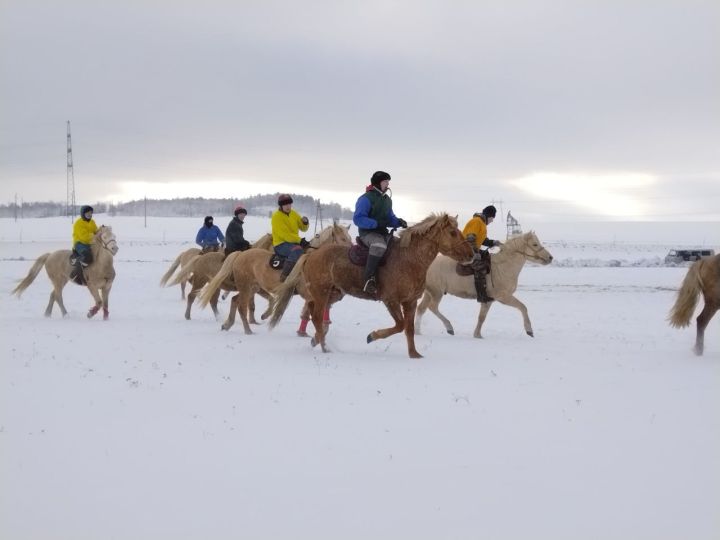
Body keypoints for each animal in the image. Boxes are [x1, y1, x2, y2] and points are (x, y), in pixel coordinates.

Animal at [198, 220, 352, 332]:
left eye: (349, 238)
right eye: (343, 238)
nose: (350, 252)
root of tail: (241, 254)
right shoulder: (309, 293)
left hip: (251, 288)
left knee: (235, 301)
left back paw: (228, 324)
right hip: (247, 288)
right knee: (240, 305)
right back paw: (247, 329)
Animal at [268, 212, 472, 358]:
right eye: (452, 233)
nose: (471, 254)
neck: (409, 259)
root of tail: (311, 254)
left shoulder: (410, 302)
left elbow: (409, 329)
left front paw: (414, 354)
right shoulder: (391, 300)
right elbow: (400, 326)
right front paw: (372, 336)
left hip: (329, 294)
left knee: (312, 312)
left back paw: (317, 340)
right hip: (322, 293)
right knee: (317, 317)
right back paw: (324, 347)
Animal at [414, 231, 556, 338]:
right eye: (535, 244)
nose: (550, 258)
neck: (502, 268)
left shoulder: (488, 300)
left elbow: (481, 317)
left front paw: (477, 335)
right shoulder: (503, 297)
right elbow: (523, 307)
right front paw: (529, 330)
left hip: (429, 293)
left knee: (421, 309)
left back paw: (417, 332)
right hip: (436, 292)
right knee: (432, 307)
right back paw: (449, 327)